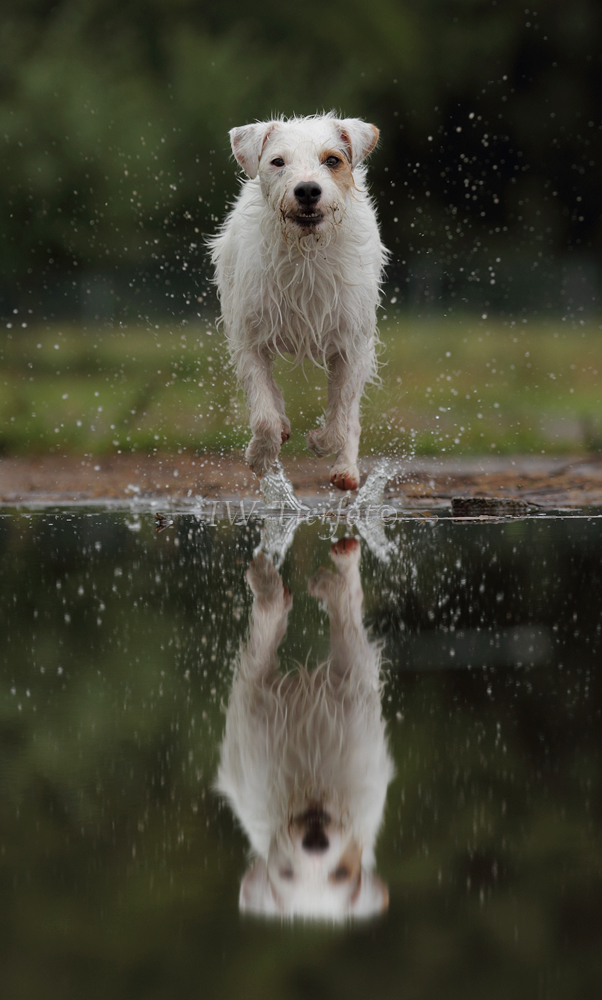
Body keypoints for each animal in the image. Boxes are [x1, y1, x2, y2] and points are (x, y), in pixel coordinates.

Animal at [209, 113, 386, 488]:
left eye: (332, 160)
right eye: (278, 162)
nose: (306, 190)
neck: (306, 254)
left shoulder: (351, 346)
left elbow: (340, 417)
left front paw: (321, 442)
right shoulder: (248, 340)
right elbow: (264, 414)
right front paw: (261, 455)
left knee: (351, 415)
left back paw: (346, 469)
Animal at [216, 540, 394, 920]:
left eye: (342, 874)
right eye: (286, 873)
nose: (315, 845)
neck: (312, 794)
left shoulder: (352, 681)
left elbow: (345, 618)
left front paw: (332, 585)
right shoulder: (255, 697)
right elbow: (267, 625)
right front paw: (270, 587)